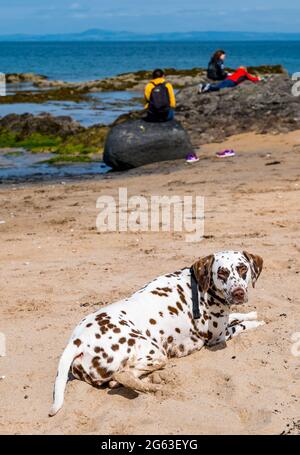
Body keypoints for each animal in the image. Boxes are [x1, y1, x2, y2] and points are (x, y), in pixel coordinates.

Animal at [50, 251, 264, 418]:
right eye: (222, 273)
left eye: (243, 269)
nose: (238, 293)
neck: (200, 286)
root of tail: (78, 340)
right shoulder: (218, 337)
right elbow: (241, 326)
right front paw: (256, 322)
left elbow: (236, 315)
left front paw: (251, 314)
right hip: (155, 353)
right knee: (122, 375)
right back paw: (156, 387)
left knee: (117, 379)